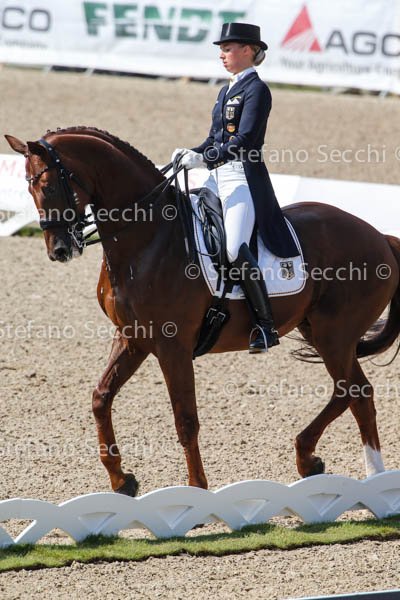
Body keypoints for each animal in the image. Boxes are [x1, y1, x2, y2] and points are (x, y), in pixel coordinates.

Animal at [5, 127, 400, 496]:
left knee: (353, 390)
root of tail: (380, 236)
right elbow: (101, 398)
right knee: (354, 392)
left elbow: (185, 419)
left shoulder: (173, 346)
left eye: (49, 186)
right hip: (320, 332)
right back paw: (338, 466)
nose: (59, 250)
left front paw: (196, 492)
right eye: (29, 189)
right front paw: (121, 480)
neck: (148, 239)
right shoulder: (133, 338)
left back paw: (353, 471)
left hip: (335, 335)